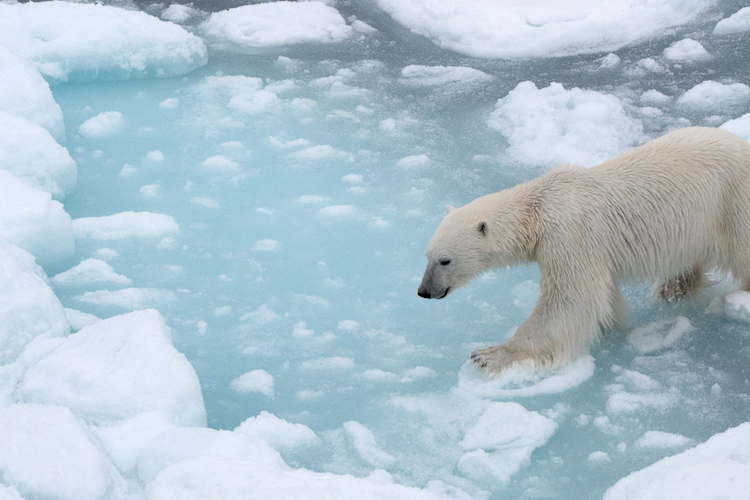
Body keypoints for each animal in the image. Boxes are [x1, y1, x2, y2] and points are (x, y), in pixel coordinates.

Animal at [418, 126, 750, 375]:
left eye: (445, 261)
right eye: (427, 256)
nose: (424, 291)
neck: (536, 210)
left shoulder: (570, 235)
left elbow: (569, 298)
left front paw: (489, 354)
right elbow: (600, 295)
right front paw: (610, 325)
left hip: (731, 200)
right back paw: (672, 289)